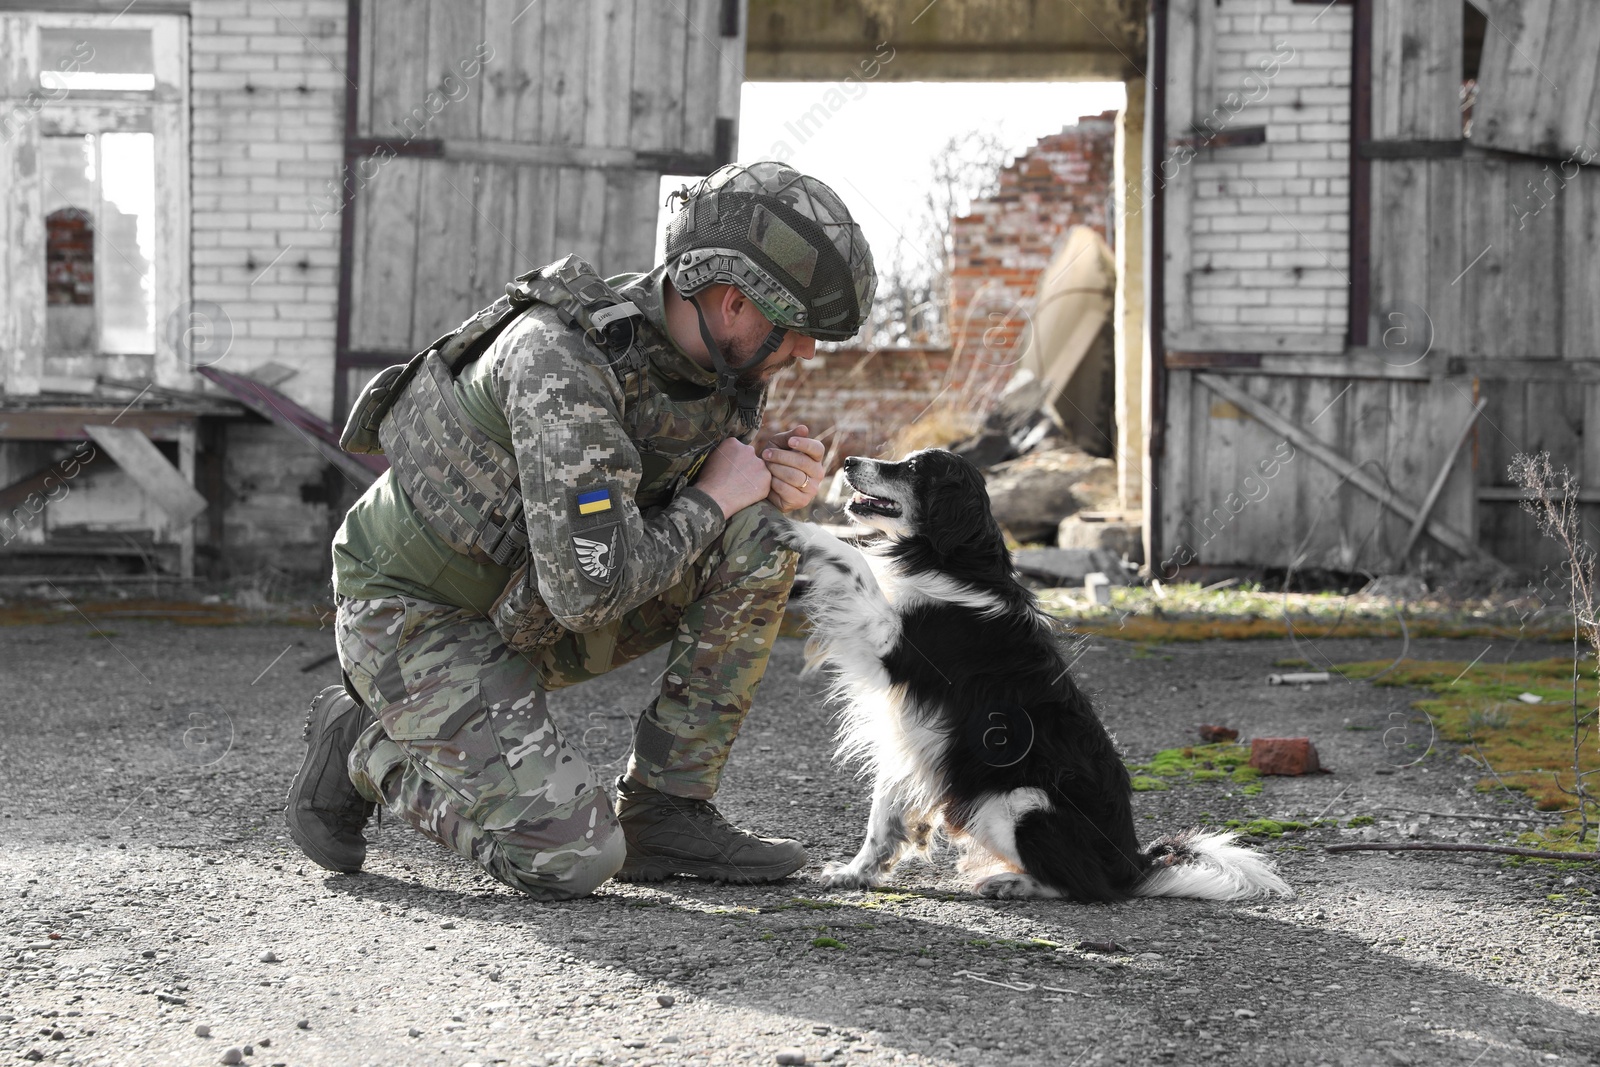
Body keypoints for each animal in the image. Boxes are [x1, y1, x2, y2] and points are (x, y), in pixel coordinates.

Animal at [780, 447, 1292, 902]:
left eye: (911, 468)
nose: (847, 461)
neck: (949, 559)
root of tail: (1134, 867)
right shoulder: (906, 735)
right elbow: (882, 820)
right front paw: (856, 874)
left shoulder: (891, 647)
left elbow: (853, 562)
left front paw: (795, 526)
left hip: (1017, 804)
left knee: (1085, 888)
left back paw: (1009, 884)